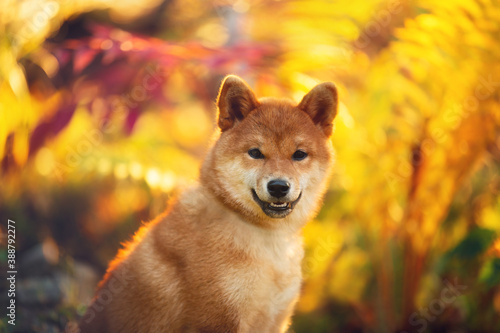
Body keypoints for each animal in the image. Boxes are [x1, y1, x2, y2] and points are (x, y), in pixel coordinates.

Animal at [79, 76, 336, 332]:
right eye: (255, 153)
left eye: (299, 154)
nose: (279, 186)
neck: (267, 240)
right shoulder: (217, 319)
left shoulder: (274, 319)